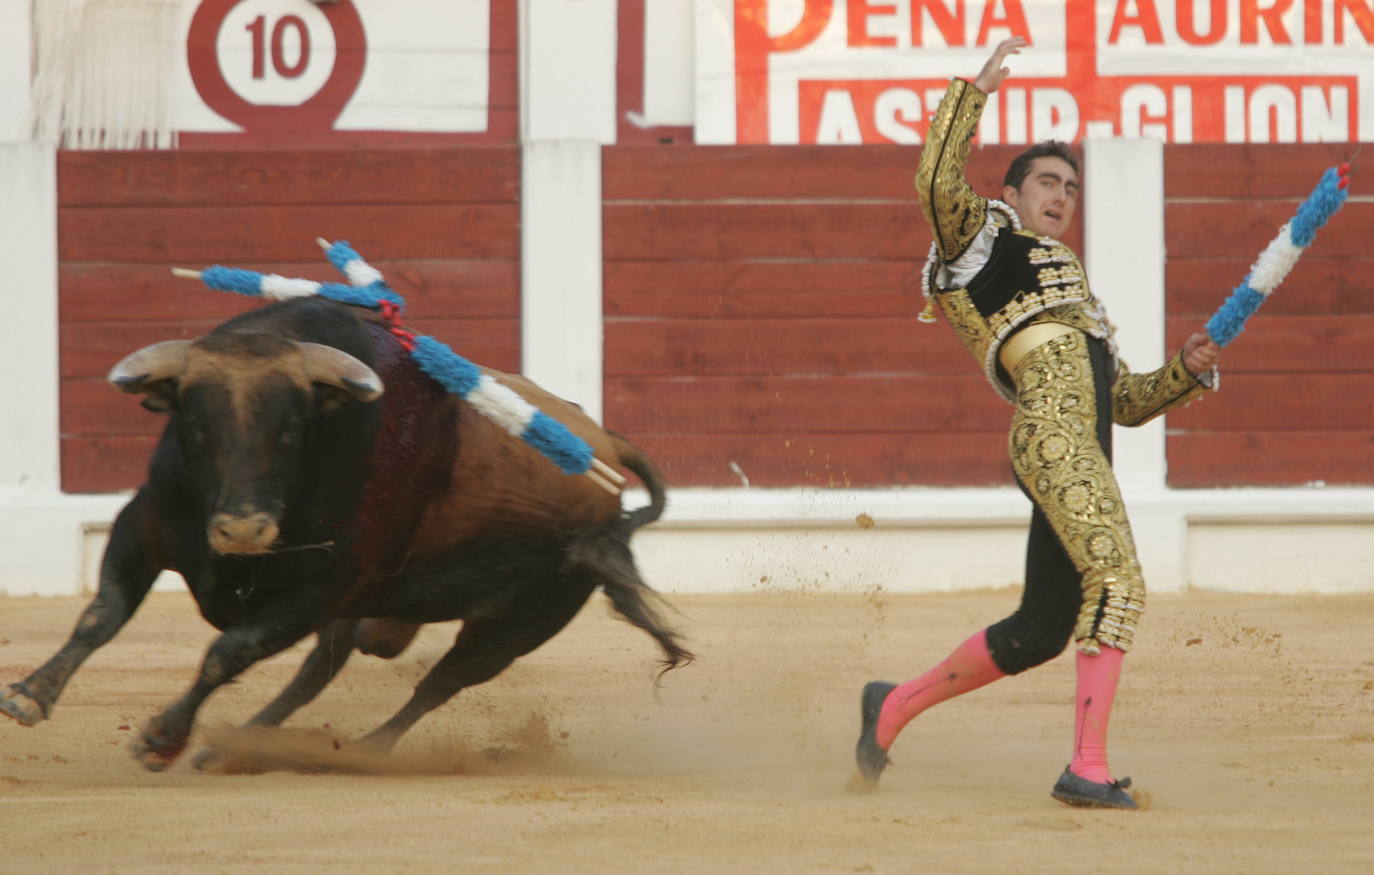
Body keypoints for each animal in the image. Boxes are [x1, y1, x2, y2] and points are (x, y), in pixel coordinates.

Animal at [0, 296, 687, 769]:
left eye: (292, 427)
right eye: (195, 422)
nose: (244, 529)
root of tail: (606, 442)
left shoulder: (323, 588)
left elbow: (227, 652)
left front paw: (161, 739)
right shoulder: (143, 525)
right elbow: (101, 615)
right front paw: (30, 695)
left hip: (519, 624)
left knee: (436, 685)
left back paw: (361, 750)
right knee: (319, 673)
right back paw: (237, 747)